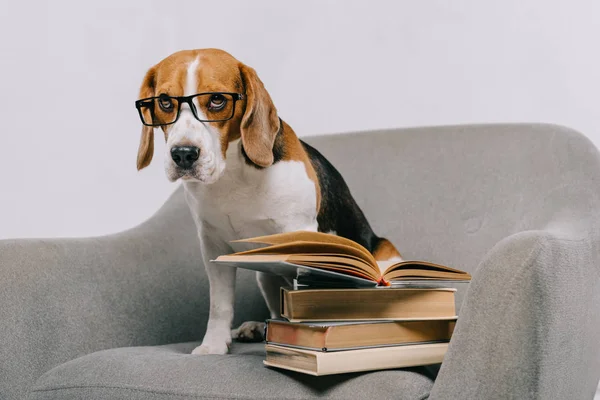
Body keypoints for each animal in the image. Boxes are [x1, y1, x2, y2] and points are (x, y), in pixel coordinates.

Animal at [134, 48, 400, 354]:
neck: (232, 174)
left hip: (385, 257)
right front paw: (213, 345)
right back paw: (258, 329)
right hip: (264, 274)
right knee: (276, 313)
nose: (183, 154)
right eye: (165, 102)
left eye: (217, 99)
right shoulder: (212, 245)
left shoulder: (301, 236)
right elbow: (220, 305)